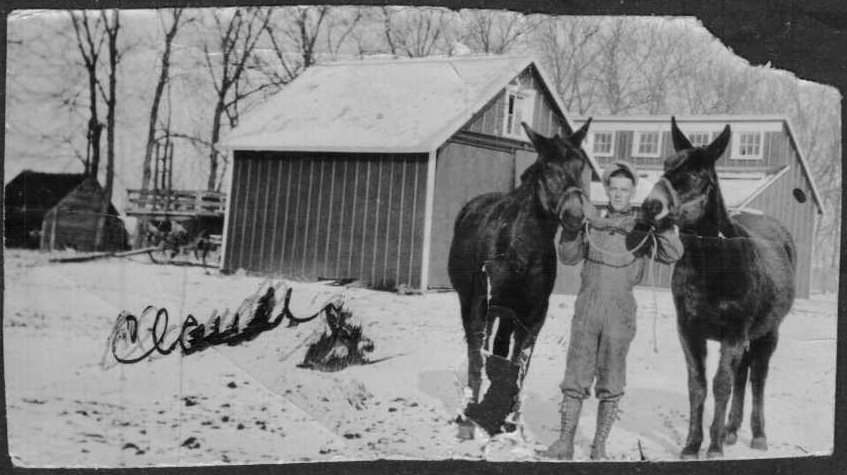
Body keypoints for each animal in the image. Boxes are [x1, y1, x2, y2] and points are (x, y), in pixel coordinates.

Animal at [448, 120, 592, 438]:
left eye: (581, 165)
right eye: (547, 167)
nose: (575, 217)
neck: (519, 250)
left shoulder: (532, 317)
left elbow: (519, 367)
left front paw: (510, 422)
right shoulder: (479, 307)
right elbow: (476, 360)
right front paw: (468, 421)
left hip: (507, 315)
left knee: (501, 349)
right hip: (476, 306)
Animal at [644, 119, 800, 462]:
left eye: (694, 175)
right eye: (666, 165)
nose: (650, 207)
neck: (714, 266)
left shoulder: (733, 334)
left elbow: (721, 385)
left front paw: (712, 448)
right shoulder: (690, 332)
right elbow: (698, 385)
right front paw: (692, 445)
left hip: (767, 334)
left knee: (756, 377)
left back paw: (757, 434)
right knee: (743, 373)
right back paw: (731, 429)